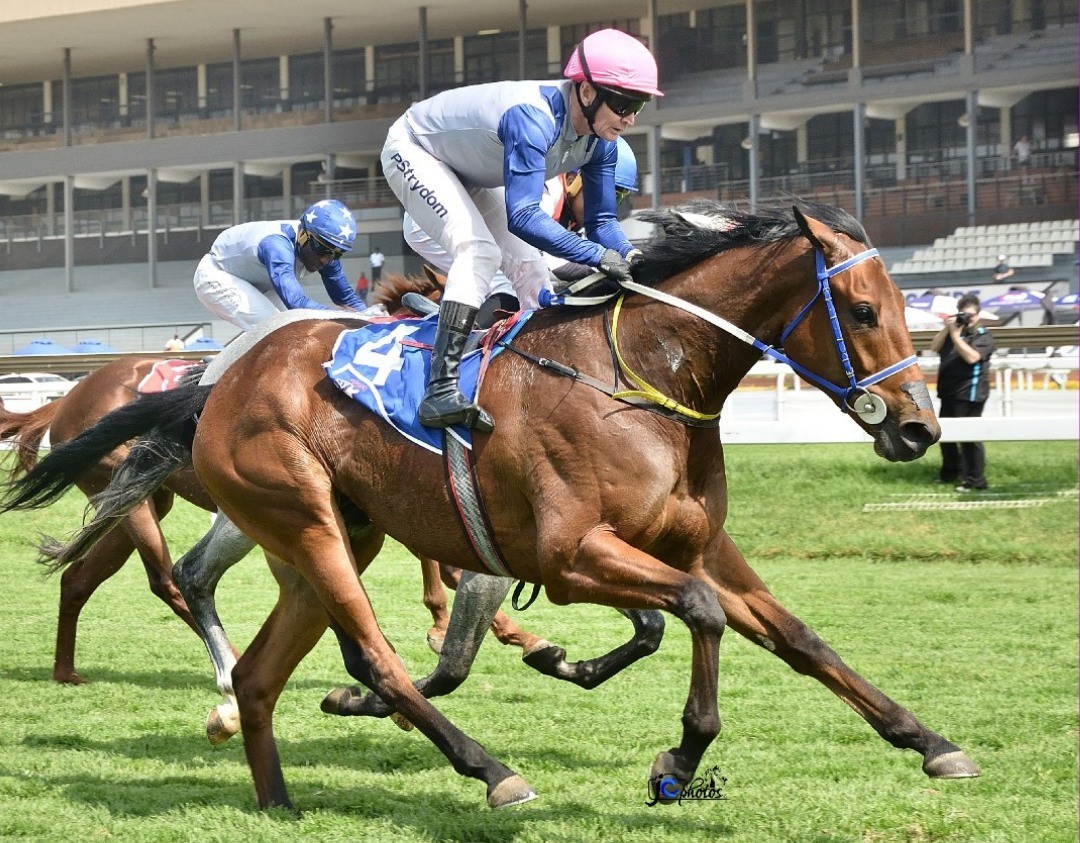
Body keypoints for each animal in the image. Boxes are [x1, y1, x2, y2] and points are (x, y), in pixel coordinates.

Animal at [0, 201, 980, 807]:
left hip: (331, 536)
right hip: (299, 520)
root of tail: (218, 382)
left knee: (257, 666)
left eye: (902, 305)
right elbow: (694, 614)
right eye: (862, 310)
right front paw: (678, 754)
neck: (639, 378)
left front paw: (929, 739)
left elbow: (799, 638)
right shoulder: (569, 555)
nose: (919, 427)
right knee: (360, 651)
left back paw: (271, 789)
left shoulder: (695, 545)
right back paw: (488, 768)